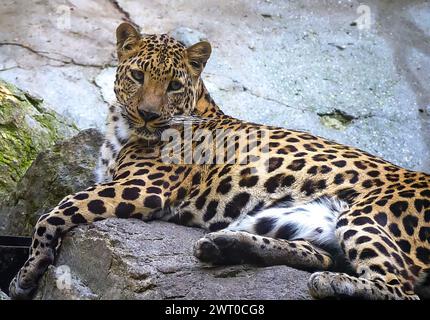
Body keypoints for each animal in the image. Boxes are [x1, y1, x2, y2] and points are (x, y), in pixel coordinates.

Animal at [7, 22, 430, 300]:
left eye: (174, 85)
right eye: (138, 75)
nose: (147, 114)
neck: (121, 127)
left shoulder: (140, 188)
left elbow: (54, 211)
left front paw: (26, 276)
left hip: (365, 215)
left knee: (401, 289)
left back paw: (332, 285)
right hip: (295, 218)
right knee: (323, 256)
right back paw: (222, 245)